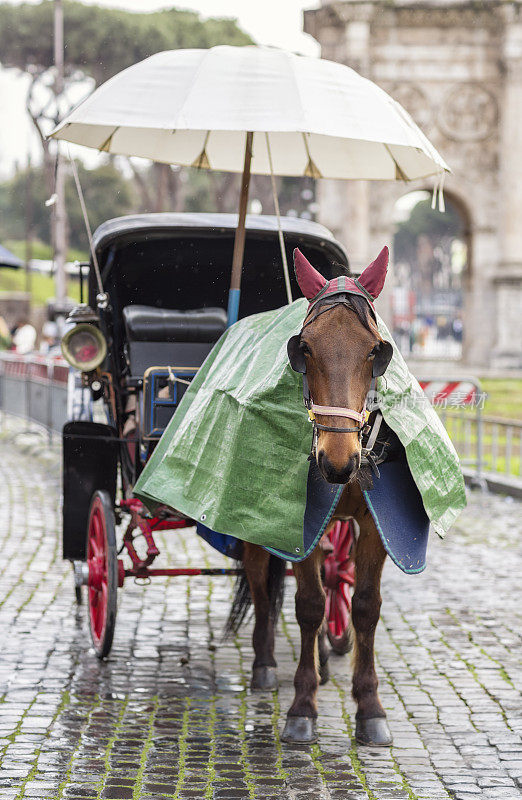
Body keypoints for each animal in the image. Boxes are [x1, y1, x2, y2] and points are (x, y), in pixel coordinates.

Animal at [225, 247, 392, 748]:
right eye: (305, 349)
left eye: (375, 350)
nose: (336, 462)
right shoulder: (303, 526)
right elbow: (309, 604)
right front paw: (302, 707)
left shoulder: (375, 525)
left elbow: (365, 606)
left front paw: (370, 707)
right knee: (260, 581)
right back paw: (265, 664)